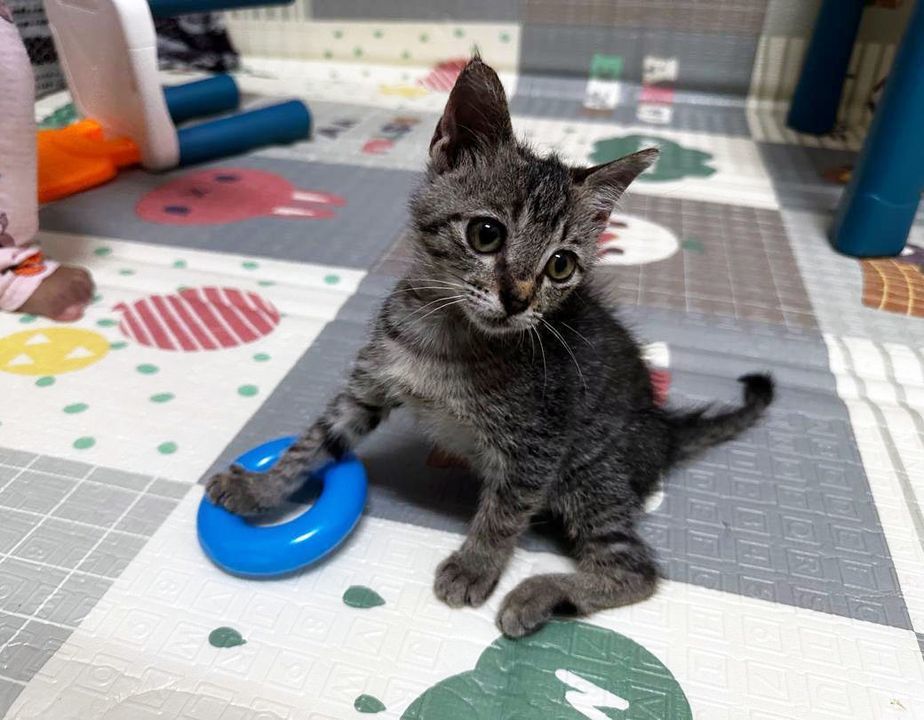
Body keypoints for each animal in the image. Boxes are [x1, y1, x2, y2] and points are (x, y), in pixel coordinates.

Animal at [208, 59, 772, 640]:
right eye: (485, 233)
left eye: (561, 265)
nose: (518, 298)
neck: (449, 339)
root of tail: (664, 432)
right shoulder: (367, 388)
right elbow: (313, 443)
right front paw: (262, 488)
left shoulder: (538, 446)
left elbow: (503, 514)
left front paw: (474, 565)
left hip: (588, 471)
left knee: (634, 570)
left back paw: (538, 594)